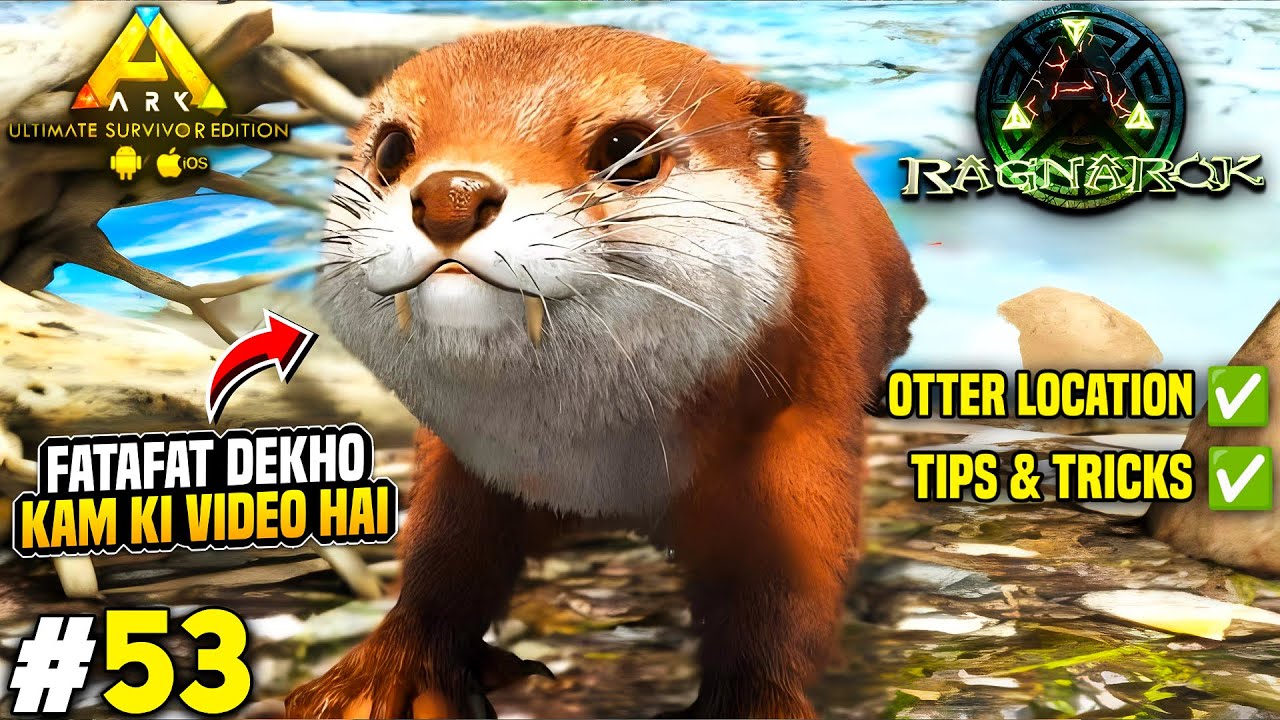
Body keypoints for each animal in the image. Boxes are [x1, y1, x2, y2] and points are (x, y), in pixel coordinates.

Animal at [287, 25, 925, 719]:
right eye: (392, 148)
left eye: (625, 150)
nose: (451, 195)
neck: (597, 467)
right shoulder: (467, 459)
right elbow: (444, 556)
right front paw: (386, 677)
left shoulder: (796, 436)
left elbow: (787, 587)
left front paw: (753, 700)